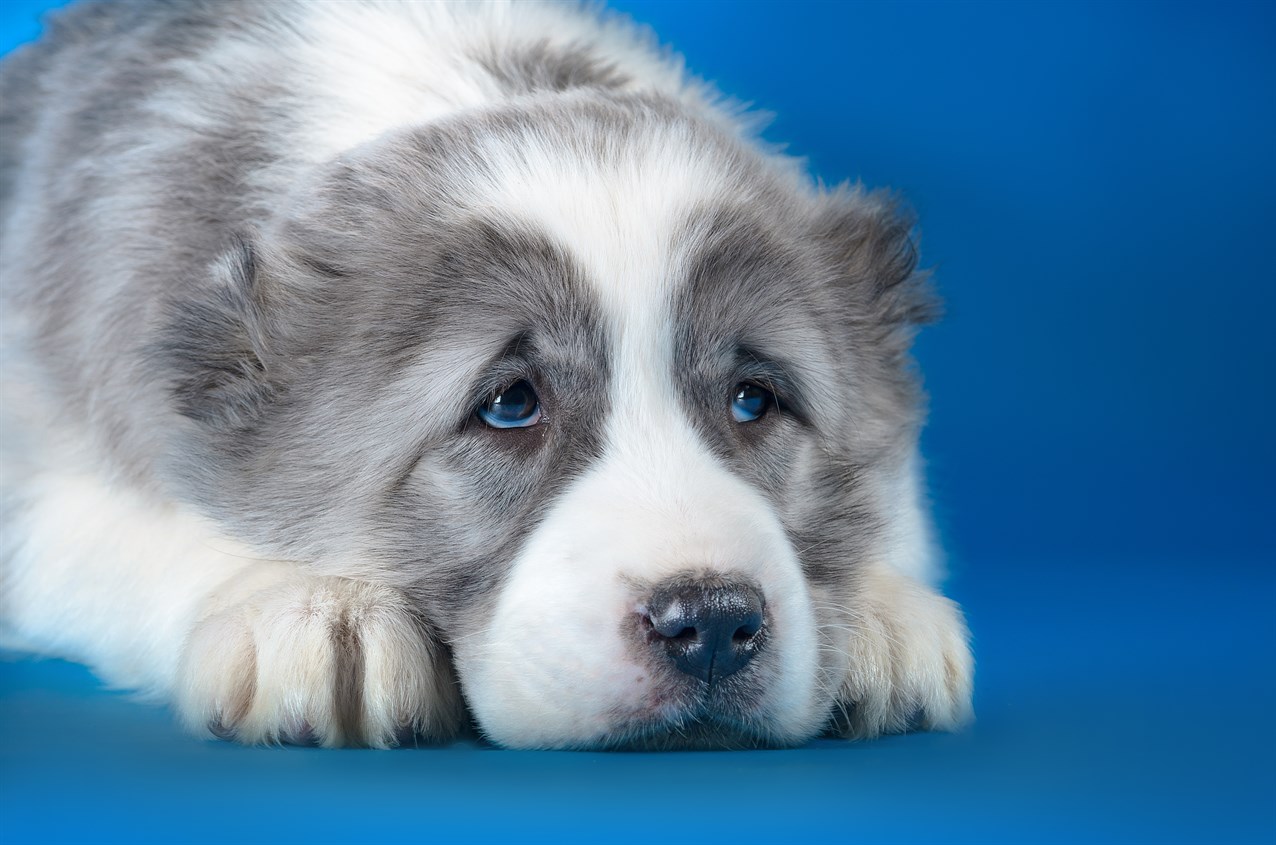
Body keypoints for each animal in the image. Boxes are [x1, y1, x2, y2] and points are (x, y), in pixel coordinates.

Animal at [0, 0, 969, 750]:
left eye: (753, 399)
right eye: (509, 405)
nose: (713, 626)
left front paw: (886, 608)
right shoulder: (41, 484)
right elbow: (138, 532)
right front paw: (313, 609)